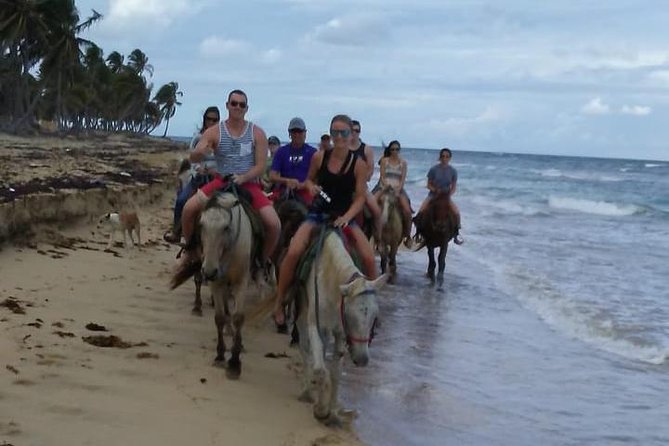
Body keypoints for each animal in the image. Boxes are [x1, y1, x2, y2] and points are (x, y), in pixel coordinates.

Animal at [171, 192, 254, 380]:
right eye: (200, 224)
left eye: (226, 227)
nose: (209, 270)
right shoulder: (216, 281)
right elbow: (220, 317)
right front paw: (220, 355)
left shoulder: (241, 281)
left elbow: (238, 317)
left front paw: (235, 363)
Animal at [296, 228, 388, 426]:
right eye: (349, 315)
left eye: (375, 316)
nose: (362, 360)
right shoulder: (316, 326)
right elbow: (320, 369)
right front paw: (321, 410)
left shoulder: (339, 332)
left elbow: (335, 372)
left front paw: (331, 411)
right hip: (301, 313)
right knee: (304, 348)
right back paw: (306, 391)